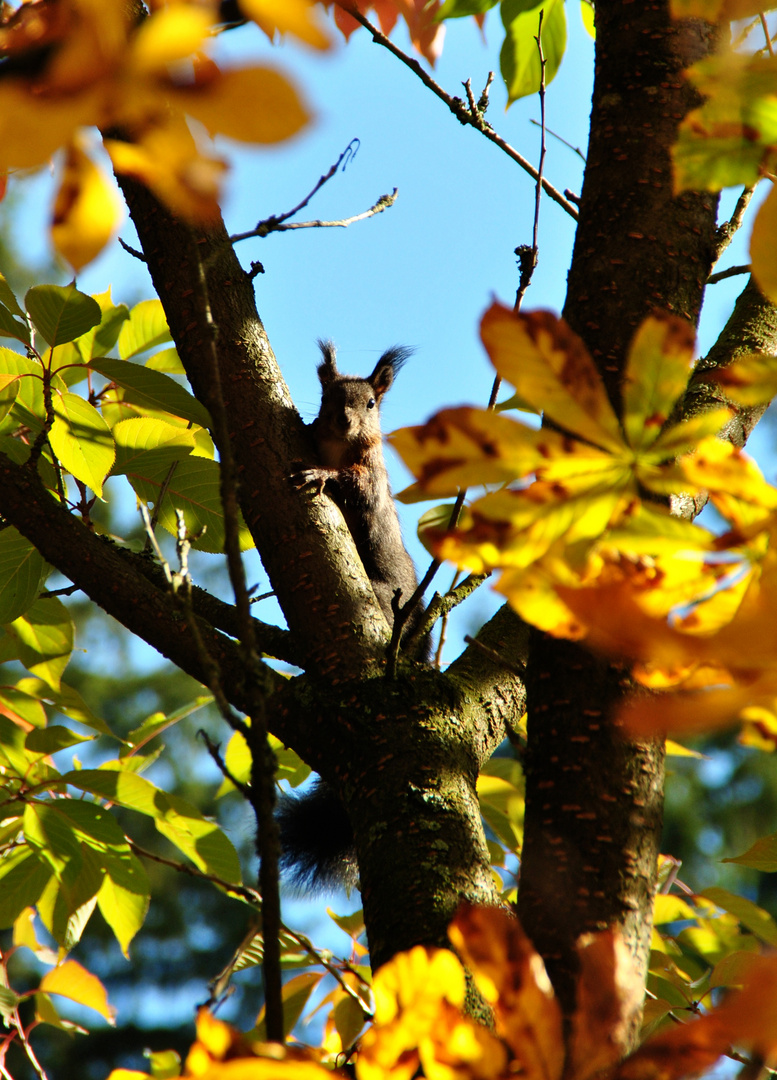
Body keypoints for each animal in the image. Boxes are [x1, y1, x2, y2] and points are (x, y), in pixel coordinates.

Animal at [278, 341, 427, 889]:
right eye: (328, 397)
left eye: (371, 404)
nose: (344, 421)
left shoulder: (373, 475)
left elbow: (357, 487)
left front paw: (321, 476)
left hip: (386, 599)